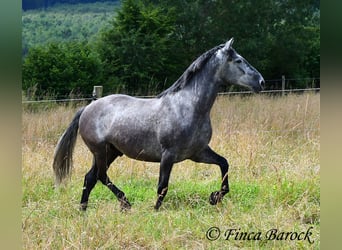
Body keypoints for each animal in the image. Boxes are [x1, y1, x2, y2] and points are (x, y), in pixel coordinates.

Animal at [52, 38, 264, 210]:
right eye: (238, 61)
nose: (261, 82)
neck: (189, 107)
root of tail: (87, 108)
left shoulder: (198, 153)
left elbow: (224, 164)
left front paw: (214, 198)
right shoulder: (168, 155)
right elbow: (163, 187)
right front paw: (155, 211)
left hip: (110, 151)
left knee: (91, 178)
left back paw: (83, 209)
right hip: (100, 150)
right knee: (101, 177)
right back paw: (125, 203)